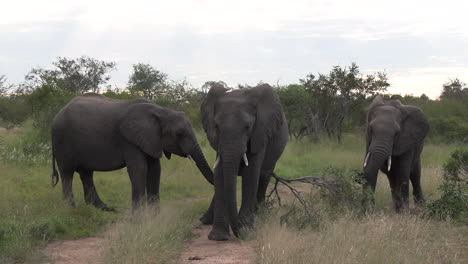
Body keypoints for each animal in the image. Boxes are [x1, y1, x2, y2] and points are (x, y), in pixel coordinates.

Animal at [51, 93, 214, 210]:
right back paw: (71, 209)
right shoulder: (129, 140)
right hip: (62, 141)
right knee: (67, 173)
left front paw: (154, 216)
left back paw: (103, 208)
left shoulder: (151, 140)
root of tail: (56, 115)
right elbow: (139, 169)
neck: (161, 111)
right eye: (179, 133)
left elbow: (155, 170)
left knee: (86, 173)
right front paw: (138, 218)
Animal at [199, 83, 288, 240]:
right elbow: (220, 173)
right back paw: (205, 220)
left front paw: (247, 229)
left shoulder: (260, 132)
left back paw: (260, 215)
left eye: (248, 127)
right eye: (217, 127)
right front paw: (218, 237)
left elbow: (251, 173)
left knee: (263, 177)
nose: (240, 233)